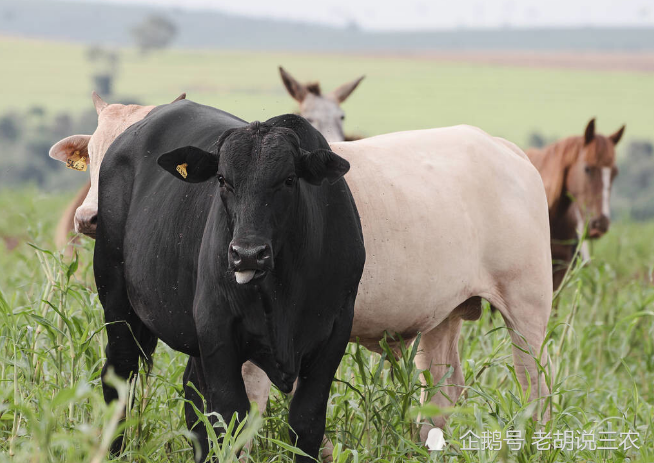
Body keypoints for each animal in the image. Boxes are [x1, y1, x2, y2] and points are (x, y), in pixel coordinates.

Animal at [95, 100, 366, 460]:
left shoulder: (336, 330)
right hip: (115, 297)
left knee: (192, 396)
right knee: (120, 375)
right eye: (223, 179)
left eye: (289, 179)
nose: (247, 254)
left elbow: (306, 423)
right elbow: (230, 419)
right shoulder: (216, 326)